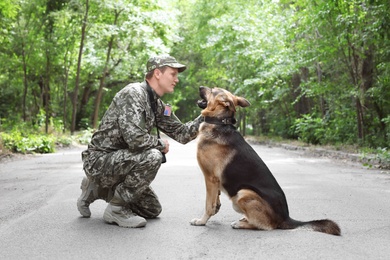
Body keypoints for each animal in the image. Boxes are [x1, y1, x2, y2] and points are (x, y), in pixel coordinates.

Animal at [190, 86, 340, 236]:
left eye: (213, 90)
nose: (200, 87)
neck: (219, 122)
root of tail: (285, 217)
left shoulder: (210, 178)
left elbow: (208, 205)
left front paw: (201, 221)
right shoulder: (215, 181)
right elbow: (215, 201)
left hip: (243, 193)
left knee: (266, 225)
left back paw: (241, 224)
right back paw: (244, 219)